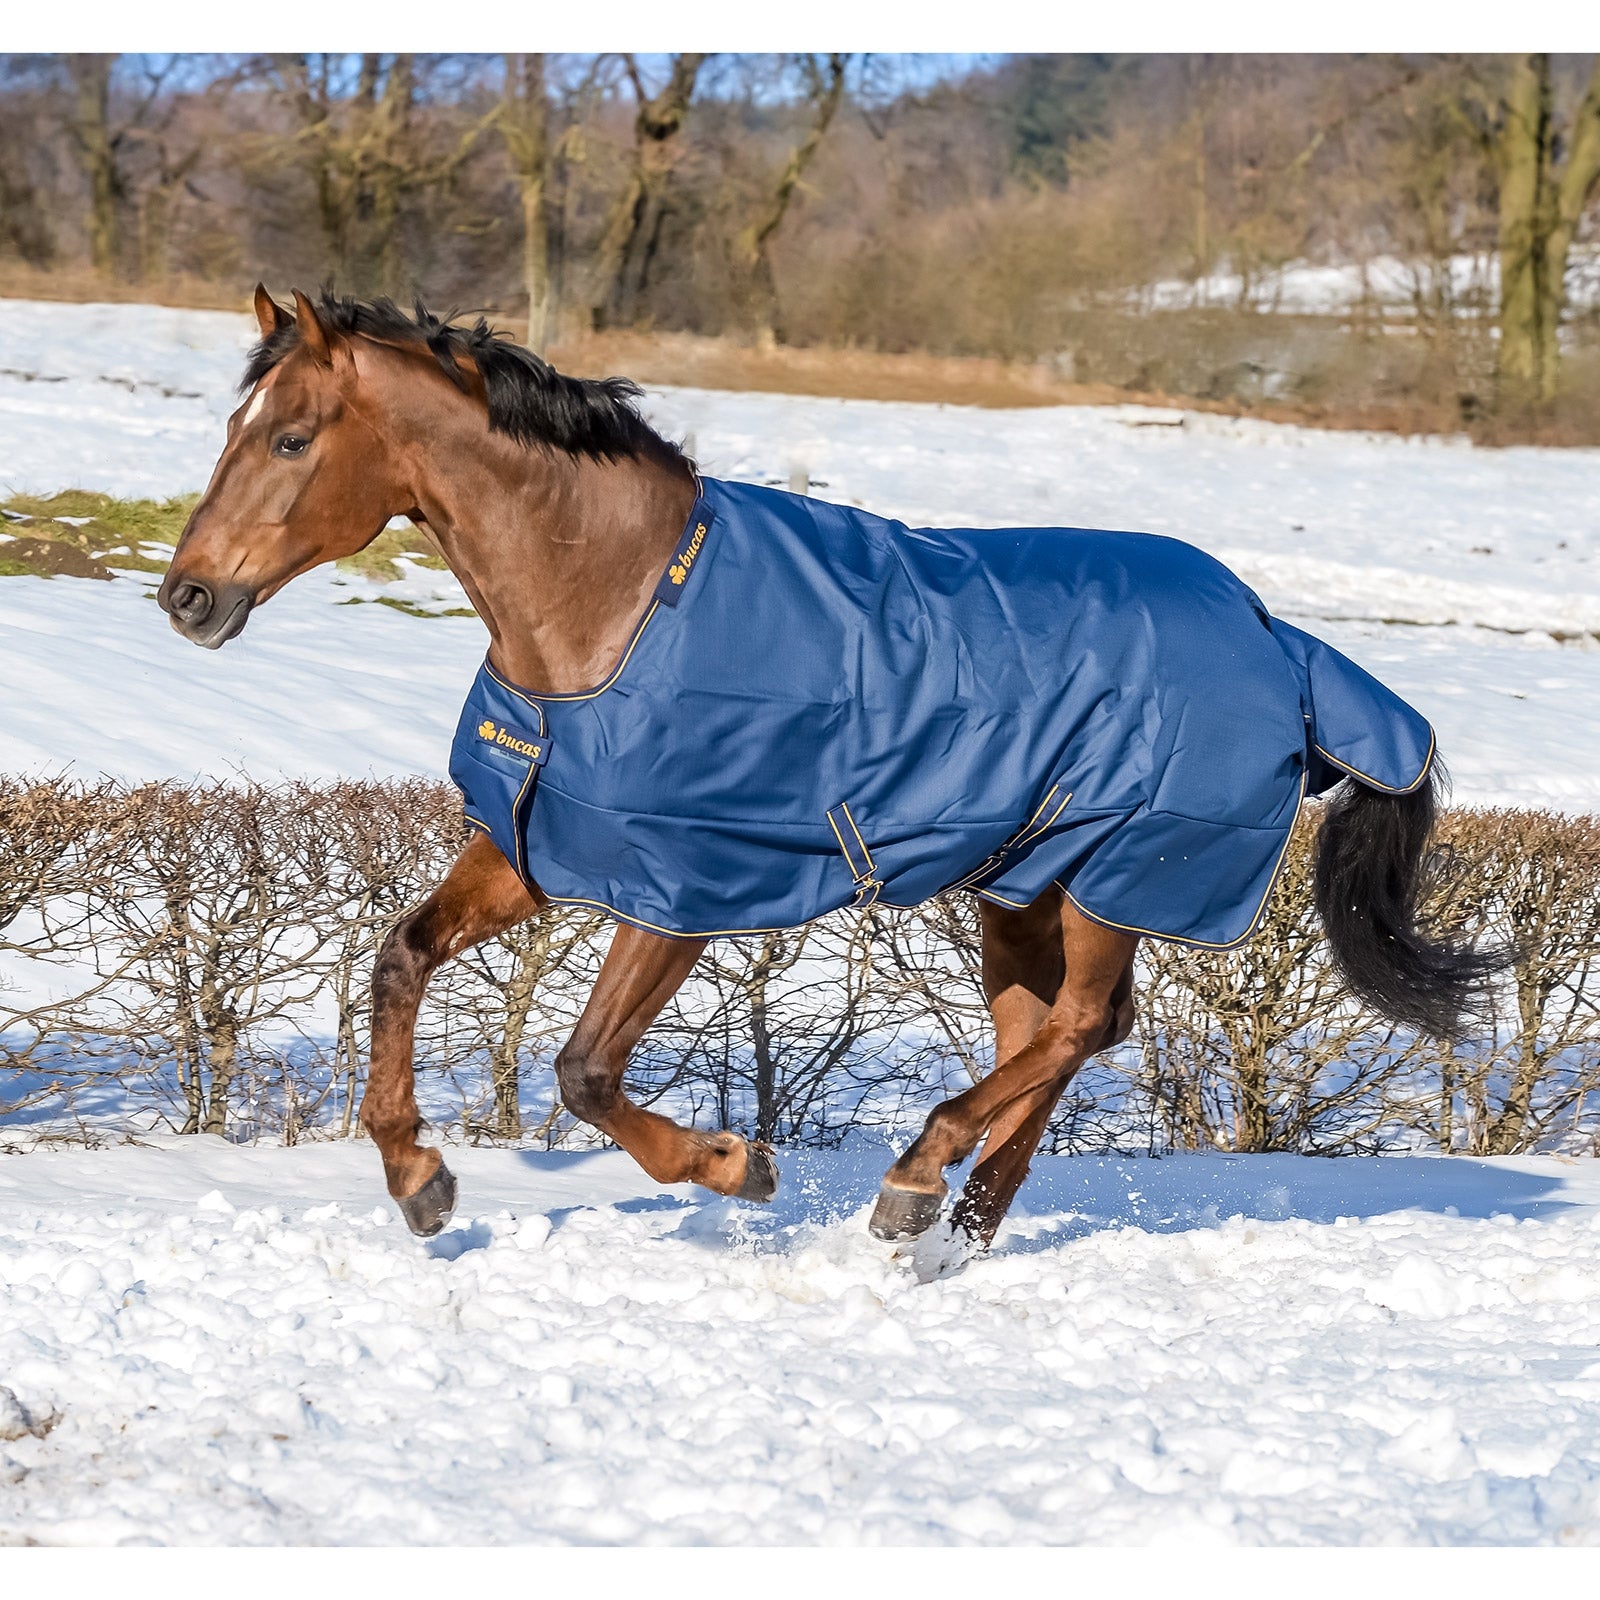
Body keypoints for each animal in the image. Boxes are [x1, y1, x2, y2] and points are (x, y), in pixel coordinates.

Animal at [157, 286, 1499, 1251]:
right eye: (228, 429)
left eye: (290, 436)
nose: (187, 598)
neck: (615, 604)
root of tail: (1281, 637)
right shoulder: (539, 842)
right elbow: (399, 955)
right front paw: (419, 1178)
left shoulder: (682, 891)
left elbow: (586, 1071)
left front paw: (733, 1164)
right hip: (1022, 883)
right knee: (1055, 1032)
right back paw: (952, 1226)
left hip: (1121, 872)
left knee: (1077, 1025)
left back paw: (915, 1179)